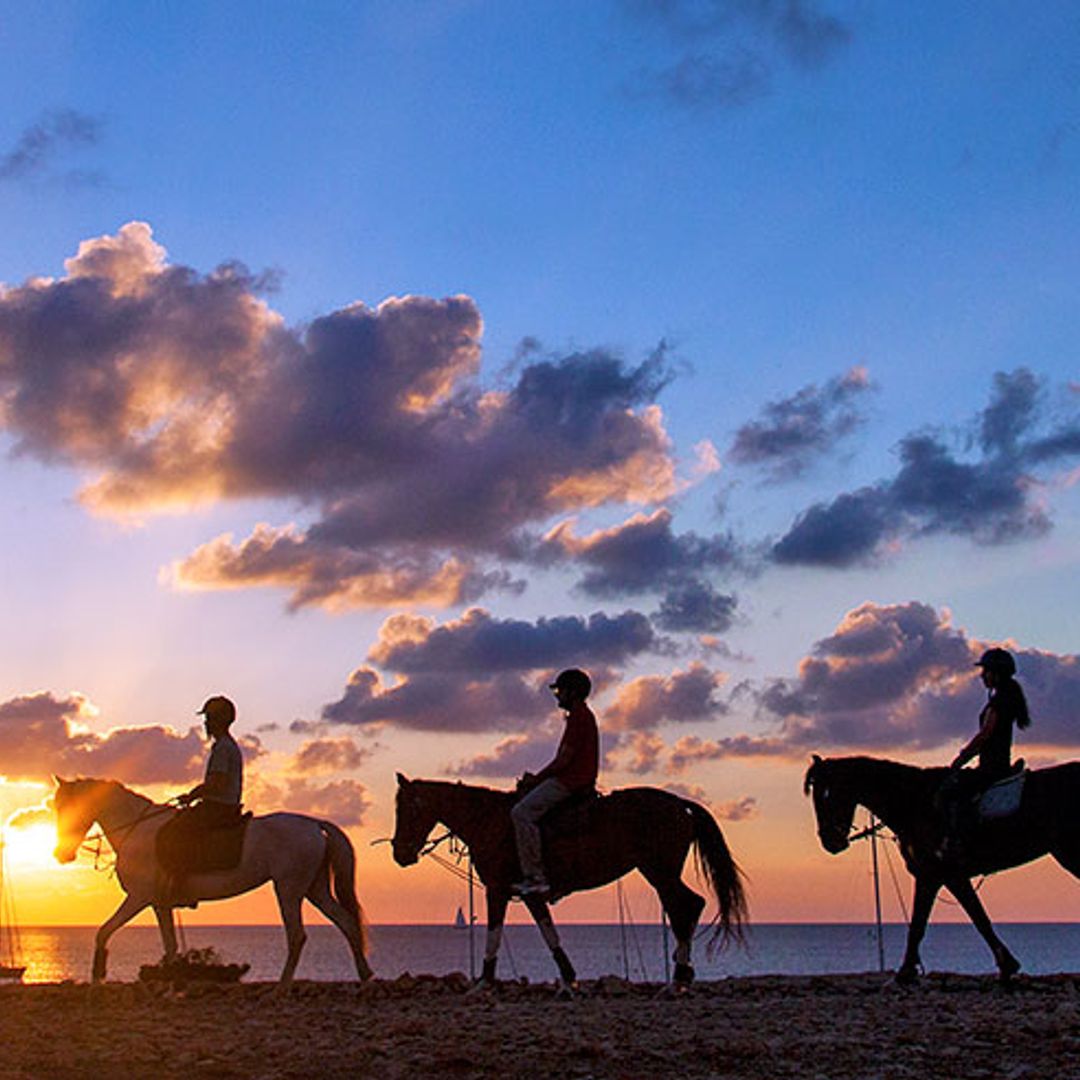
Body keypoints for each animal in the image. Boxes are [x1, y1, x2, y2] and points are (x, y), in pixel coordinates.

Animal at [52, 777, 373, 989]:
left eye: (69, 806)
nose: (61, 854)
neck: (137, 830)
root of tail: (313, 824)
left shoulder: (139, 898)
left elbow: (103, 932)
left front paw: (98, 976)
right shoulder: (159, 904)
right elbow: (170, 945)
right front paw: (172, 983)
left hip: (289, 890)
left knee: (297, 935)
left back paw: (282, 987)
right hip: (314, 889)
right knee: (346, 921)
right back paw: (365, 975)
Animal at [393, 773, 747, 989]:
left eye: (405, 809)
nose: (399, 854)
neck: (489, 821)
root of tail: (678, 803)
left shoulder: (497, 889)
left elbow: (494, 932)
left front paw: (484, 981)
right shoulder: (526, 893)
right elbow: (548, 930)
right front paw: (568, 977)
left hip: (660, 871)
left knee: (686, 907)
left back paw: (680, 974)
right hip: (661, 873)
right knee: (687, 907)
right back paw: (682, 971)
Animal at [803, 756, 1080, 984]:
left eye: (829, 795)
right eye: (815, 797)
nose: (830, 842)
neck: (915, 802)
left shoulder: (939, 875)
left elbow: (945, 922)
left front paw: (904, 974)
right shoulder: (940, 876)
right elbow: (947, 920)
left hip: (1070, 853)